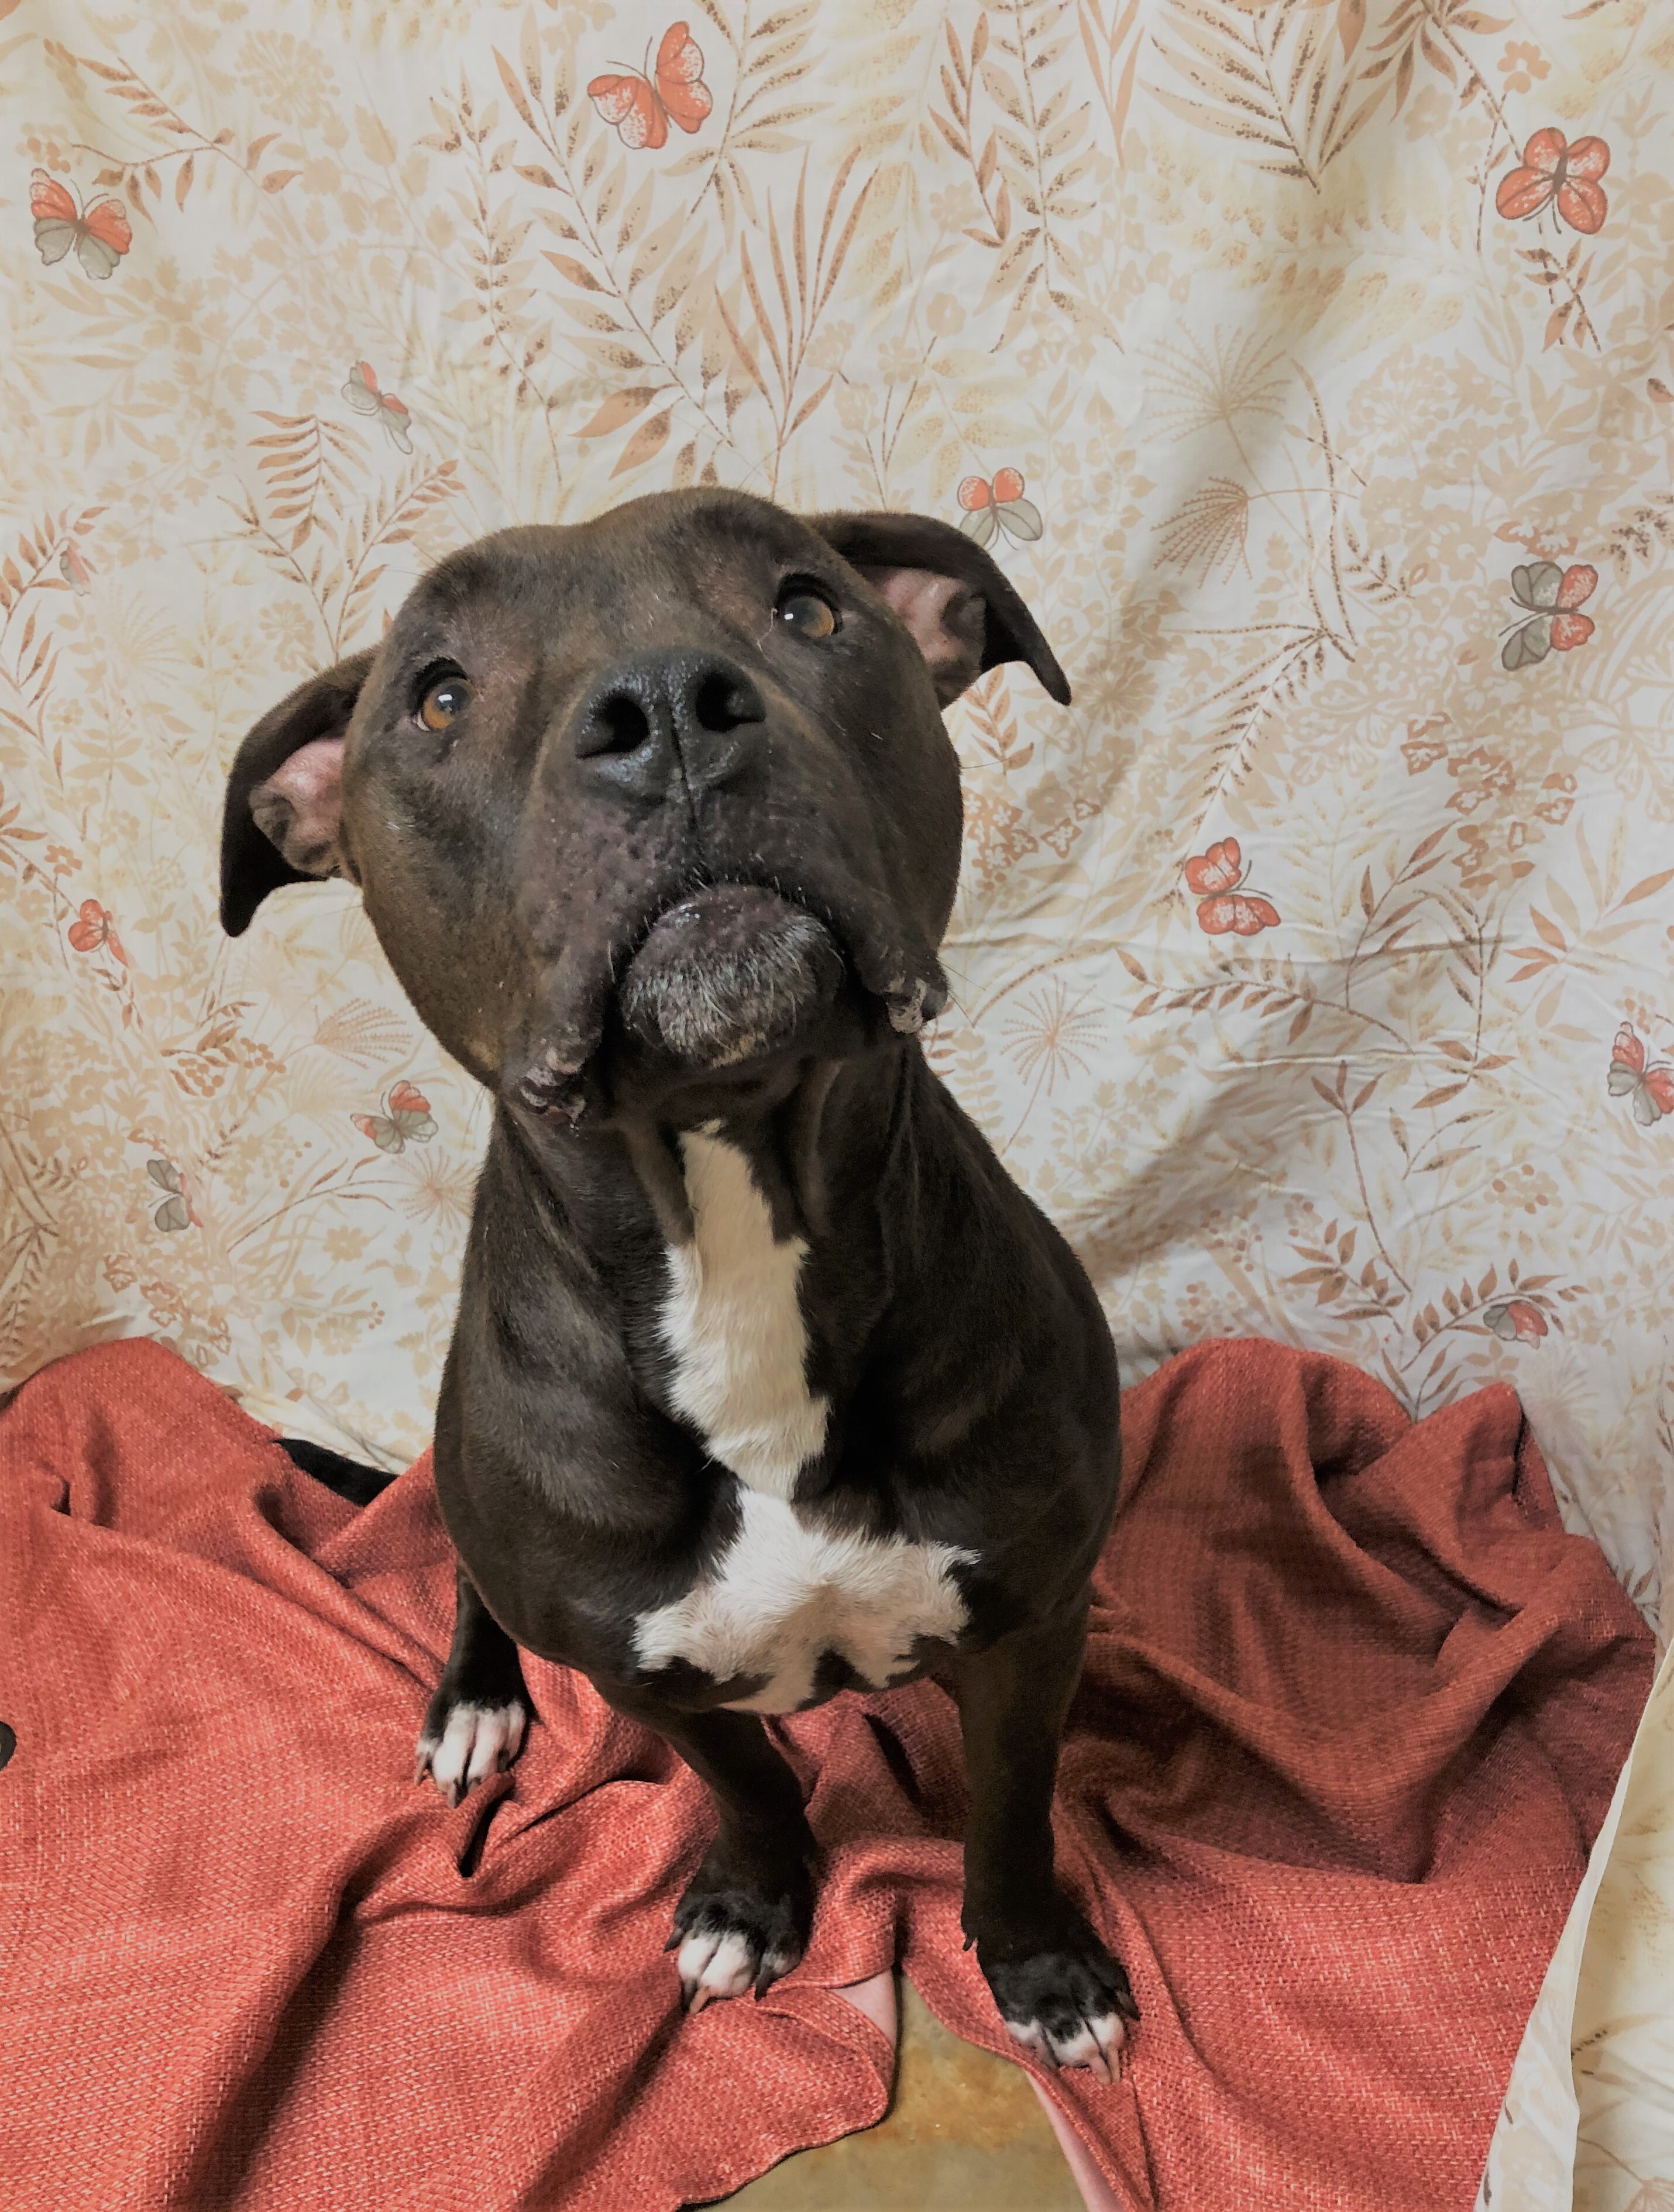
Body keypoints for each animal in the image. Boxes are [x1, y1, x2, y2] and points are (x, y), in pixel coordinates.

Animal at [222, 484, 1132, 2070]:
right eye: (438, 697)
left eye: (807, 606)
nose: (662, 710)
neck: (727, 1212)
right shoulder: (645, 1669)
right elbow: (749, 1784)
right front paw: (752, 1904)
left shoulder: (1029, 1618)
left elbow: (1012, 1812)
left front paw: (1038, 1965)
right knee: (464, 1571)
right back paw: (473, 1701)